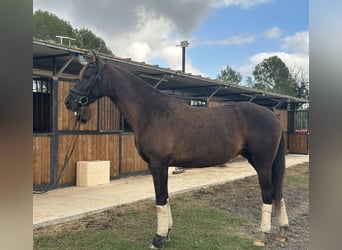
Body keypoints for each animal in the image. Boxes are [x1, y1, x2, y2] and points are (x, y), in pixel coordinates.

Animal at [64, 50, 288, 248]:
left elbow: (160, 197)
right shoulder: (162, 166)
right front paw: (167, 233)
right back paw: (282, 232)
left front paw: (158, 238)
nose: (69, 102)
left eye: (89, 75)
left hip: (262, 163)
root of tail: (272, 116)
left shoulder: (158, 164)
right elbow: (166, 196)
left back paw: (262, 236)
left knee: (268, 193)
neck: (152, 112)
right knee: (278, 193)